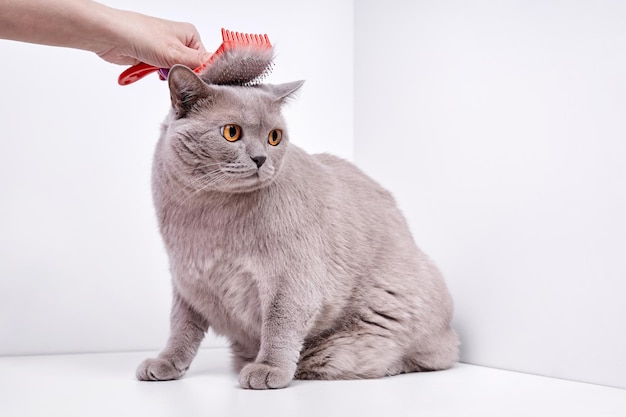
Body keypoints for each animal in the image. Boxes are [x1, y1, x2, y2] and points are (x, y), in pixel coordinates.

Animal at [136, 63, 458, 388]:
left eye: (274, 137)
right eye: (231, 132)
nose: (260, 158)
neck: (207, 215)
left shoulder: (291, 276)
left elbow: (279, 323)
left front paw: (269, 368)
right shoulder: (186, 279)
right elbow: (181, 328)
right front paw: (166, 363)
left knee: (437, 354)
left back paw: (391, 366)